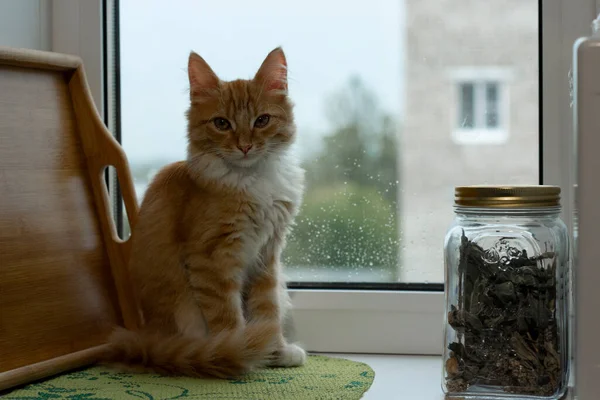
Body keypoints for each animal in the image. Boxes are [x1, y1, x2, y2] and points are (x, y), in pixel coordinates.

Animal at [105, 47, 308, 378]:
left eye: (262, 120)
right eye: (221, 123)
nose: (245, 146)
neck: (252, 180)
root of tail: (150, 340)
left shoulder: (267, 254)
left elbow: (267, 309)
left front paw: (275, 350)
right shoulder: (211, 258)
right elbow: (227, 316)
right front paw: (240, 351)